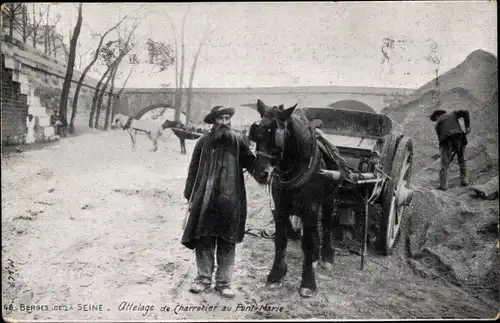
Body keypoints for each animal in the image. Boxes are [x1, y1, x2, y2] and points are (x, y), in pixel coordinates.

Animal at [249, 98, 338, 298]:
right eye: (257, 134)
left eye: (275, 136)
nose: (261, 173)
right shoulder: (280, 208)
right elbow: (281, 241)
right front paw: (276, 274)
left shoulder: (311, 207)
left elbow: (308, 243)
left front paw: (308, 282)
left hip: (329, 200)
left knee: (326, 224)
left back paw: (326, 255)